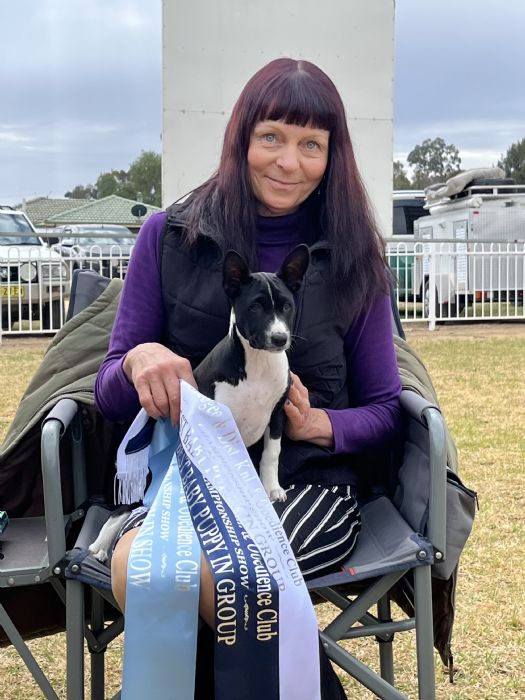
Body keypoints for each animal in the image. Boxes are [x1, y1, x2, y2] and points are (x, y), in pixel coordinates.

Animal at [88, 246, 310, 564]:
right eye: (255, 307)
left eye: (287, 306)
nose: (279, 338)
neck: (257, 364)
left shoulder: (277, 414)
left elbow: (271, 453)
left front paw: (271, 488)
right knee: (124, 508)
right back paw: (100, 543)